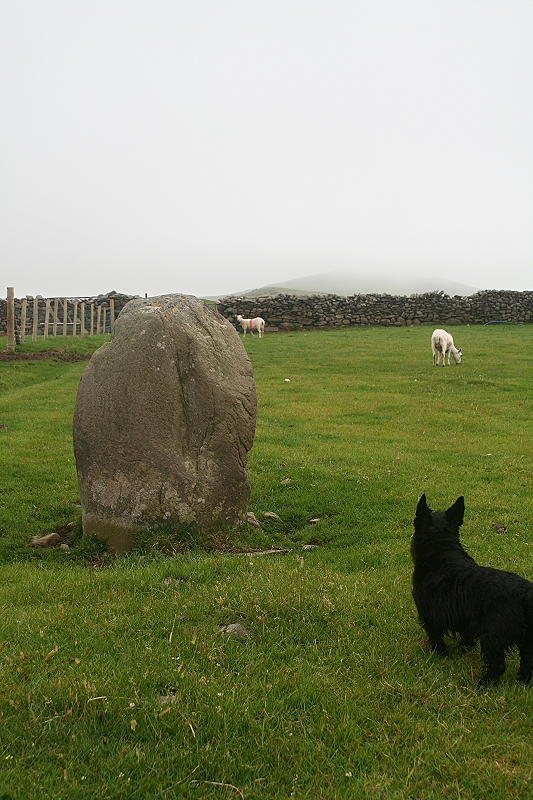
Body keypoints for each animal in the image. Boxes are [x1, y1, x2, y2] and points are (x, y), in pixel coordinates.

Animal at [412, 494, 532, 688]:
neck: (442, 552)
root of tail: (525, 594)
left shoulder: (430, 616)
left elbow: (436, 637)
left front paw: (440, 655)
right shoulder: (465, 620)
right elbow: (467, 637)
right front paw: (463, 649)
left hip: (493, 637)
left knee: (498, 665)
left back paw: (483, 684)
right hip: (527, 640)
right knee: (528, 663)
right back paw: (523, 683)